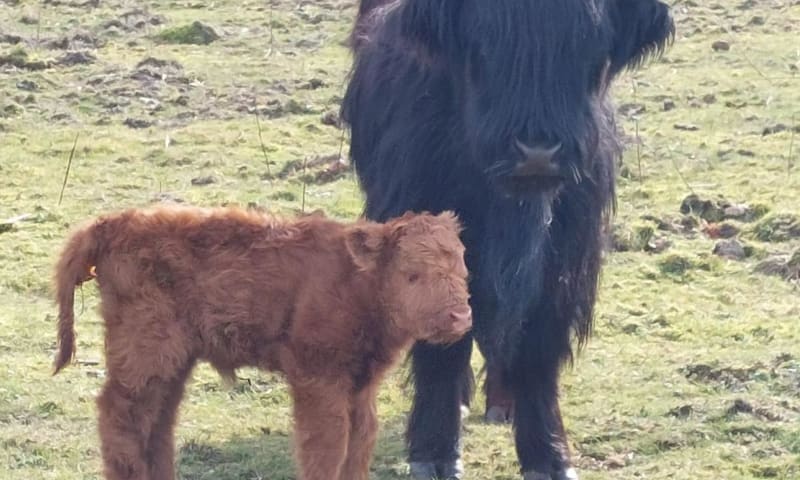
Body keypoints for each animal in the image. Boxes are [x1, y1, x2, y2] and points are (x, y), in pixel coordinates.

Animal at [50, 206, 472, 480]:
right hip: (145, 353)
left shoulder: (360, 384)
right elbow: (328, 444)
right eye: (412, 274)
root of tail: (113, 223)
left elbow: (360, 441)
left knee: (157, 421)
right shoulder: (318, 379)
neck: (356, 282)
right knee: (119, 413)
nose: (460, 316)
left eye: (460, 267)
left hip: (172, 362)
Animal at [340, 0, 676, 480]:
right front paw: (435, 454)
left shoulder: (564, 262)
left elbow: (537, 346)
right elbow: (442, 351)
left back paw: (504, 403)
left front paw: (549, 457)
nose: (537, 152)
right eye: (482, 44)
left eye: (587, 44)